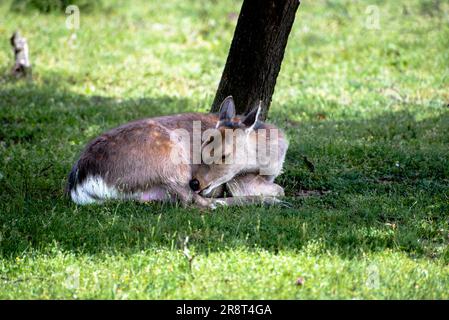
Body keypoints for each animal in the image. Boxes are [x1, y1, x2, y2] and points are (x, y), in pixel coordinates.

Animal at [68, 96, 288, 209]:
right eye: (202, 146)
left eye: (224, 155)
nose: (196, 182)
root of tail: (80, 182)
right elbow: (278, 188)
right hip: (171, 162)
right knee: (195, 201)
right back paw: (269, 201)